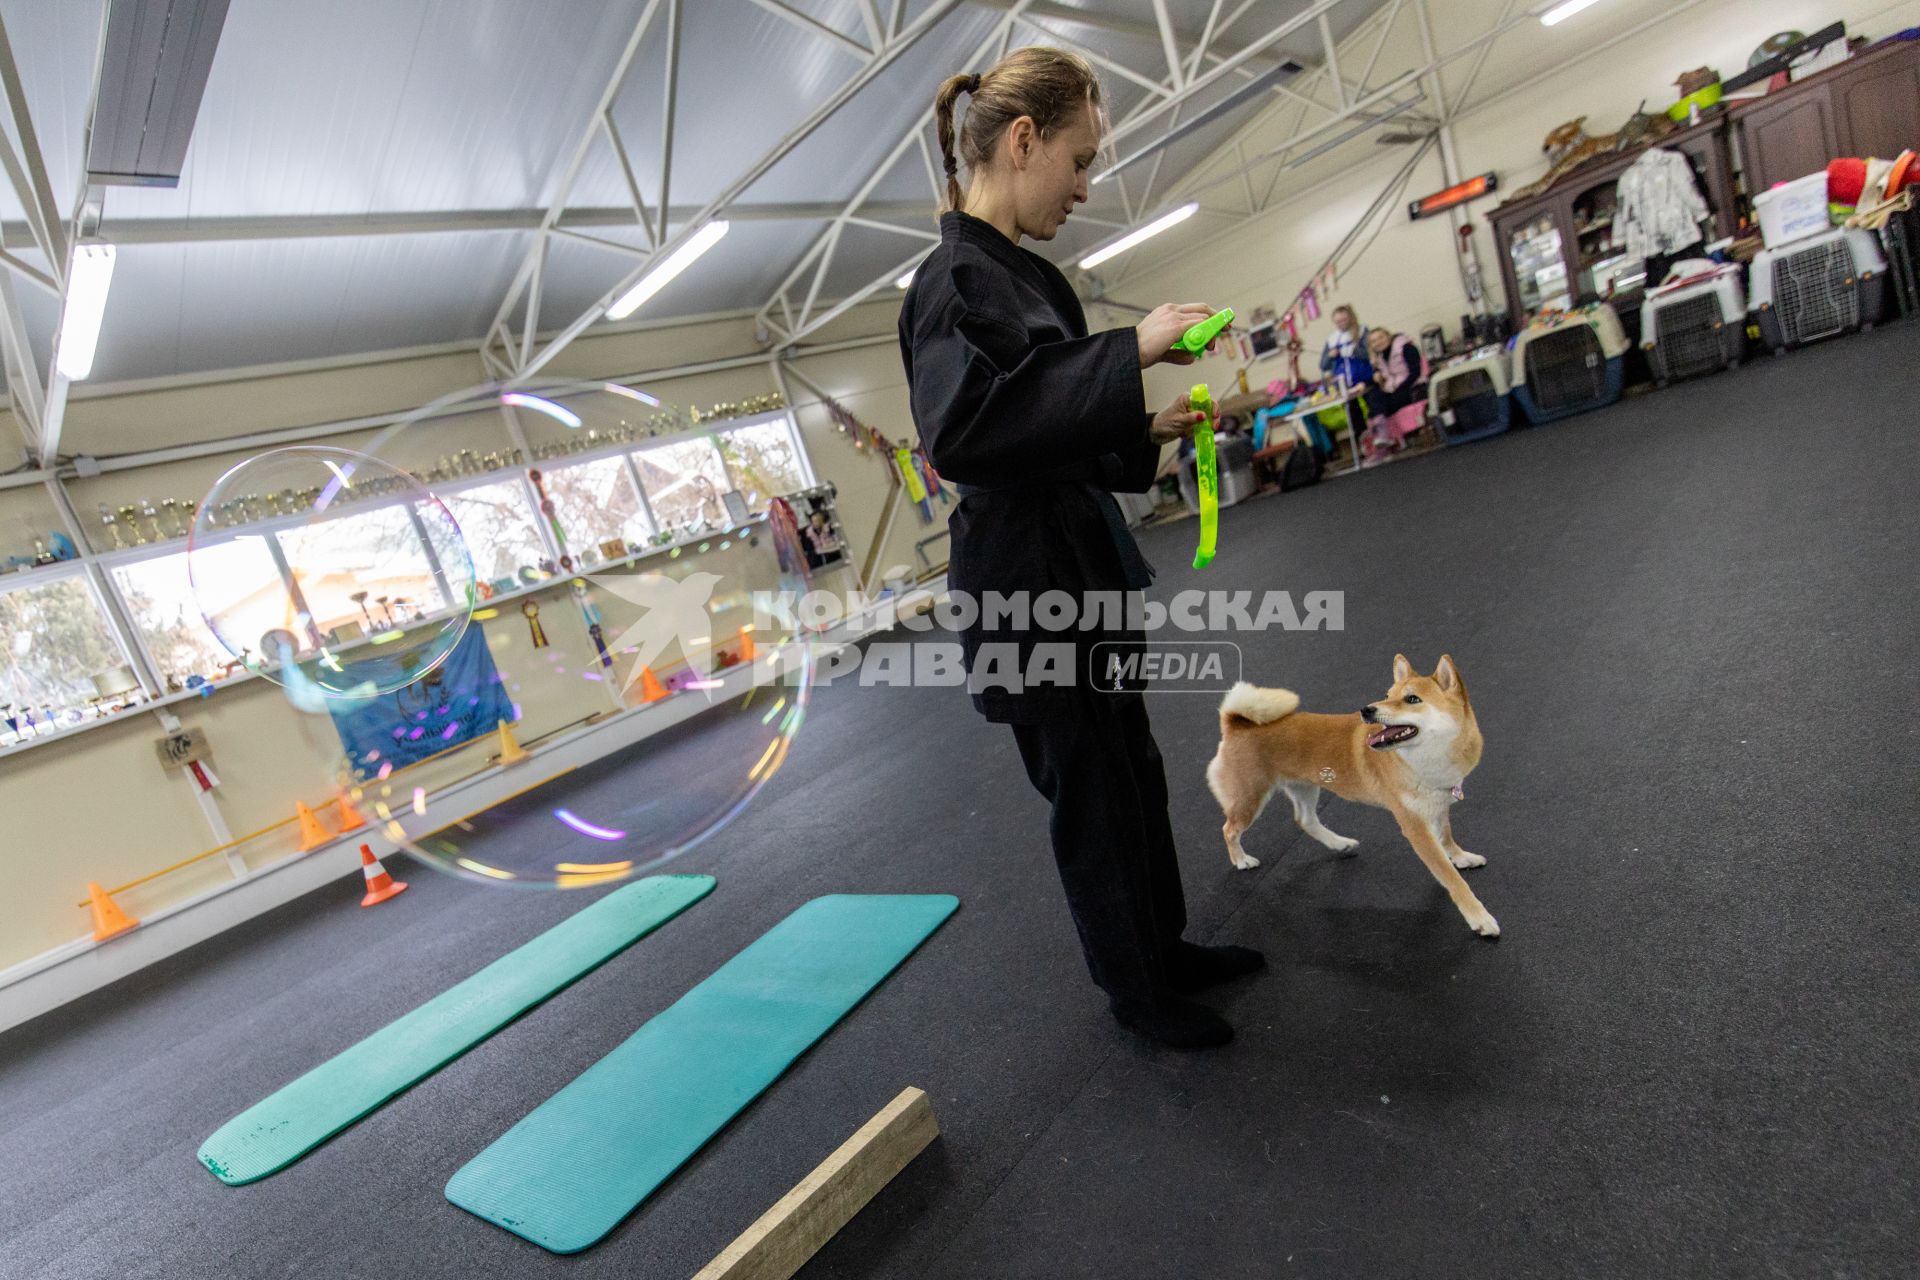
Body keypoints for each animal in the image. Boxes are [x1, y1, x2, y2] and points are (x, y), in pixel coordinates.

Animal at [1198, 656, 1497, 936]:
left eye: (1412, 699)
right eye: (1387, 694)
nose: (1367, 709)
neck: (1428, 759)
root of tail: (1235, 724)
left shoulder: (1438, 806)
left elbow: (1447, 838)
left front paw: (1462, 857)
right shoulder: (1415, 826)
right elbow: (1451, 877)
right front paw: (1479, 918)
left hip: (1305, 788)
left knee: (1305, 820)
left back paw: (1340, 844)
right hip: (1250, 799)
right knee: (1229, 829)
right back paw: (1241, 860)